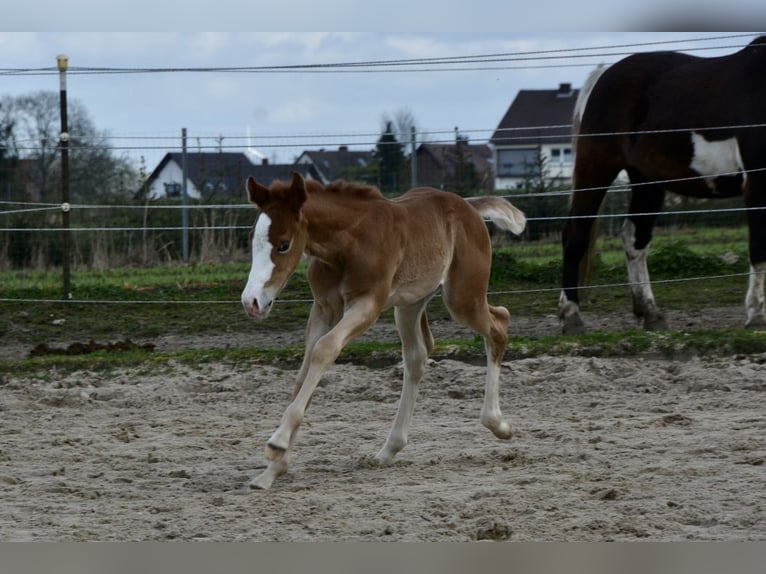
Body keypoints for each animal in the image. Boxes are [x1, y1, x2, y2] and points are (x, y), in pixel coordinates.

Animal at [560, 36, 766, 336]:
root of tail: (603, 74)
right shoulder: (758, 182)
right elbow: (759, 246)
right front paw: (756, 315)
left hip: (647, 181)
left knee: (634, 238)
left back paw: (650, 313)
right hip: (596, 167)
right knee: (576, 234)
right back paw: (571, 316)